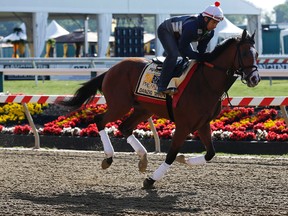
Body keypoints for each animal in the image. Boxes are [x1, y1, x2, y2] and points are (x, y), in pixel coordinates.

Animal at [60, 29, 260, 188]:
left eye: (257, 53)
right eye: (245, 53)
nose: (254, 79)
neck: (206, 83)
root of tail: (111, 69)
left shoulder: (203, 123)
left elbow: (210, 153)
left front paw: (184, 159)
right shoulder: (184, 125)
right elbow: (171, 155)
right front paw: (151, 180)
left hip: (143, 109)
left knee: (124, 127)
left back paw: (143, 159)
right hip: (120, 105)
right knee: (100, 120)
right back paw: (109, 157)